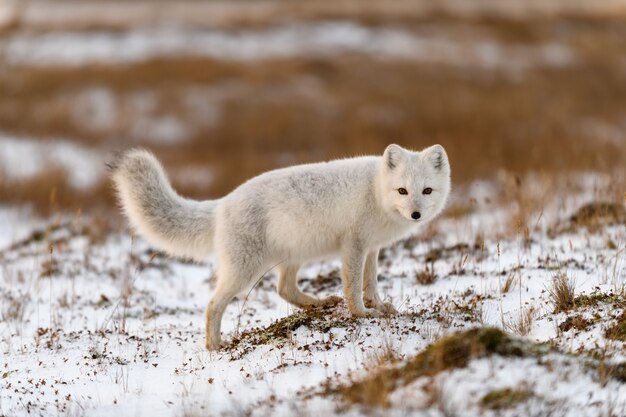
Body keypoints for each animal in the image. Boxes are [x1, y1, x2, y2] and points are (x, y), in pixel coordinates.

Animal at [107, 143, 448, 348]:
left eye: (426, 191)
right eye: (402, 191)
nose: (416, 214)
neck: (376, 192)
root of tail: (221, 205)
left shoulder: (372, 248)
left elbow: (371, 282)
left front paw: (378, 306)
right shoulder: (354, 245)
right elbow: (353, 287)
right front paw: (362, 314)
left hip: (293, 256)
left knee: (284, 289)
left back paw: (318, 304)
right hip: (243, 271)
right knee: (213, 304)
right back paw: (215, 346)